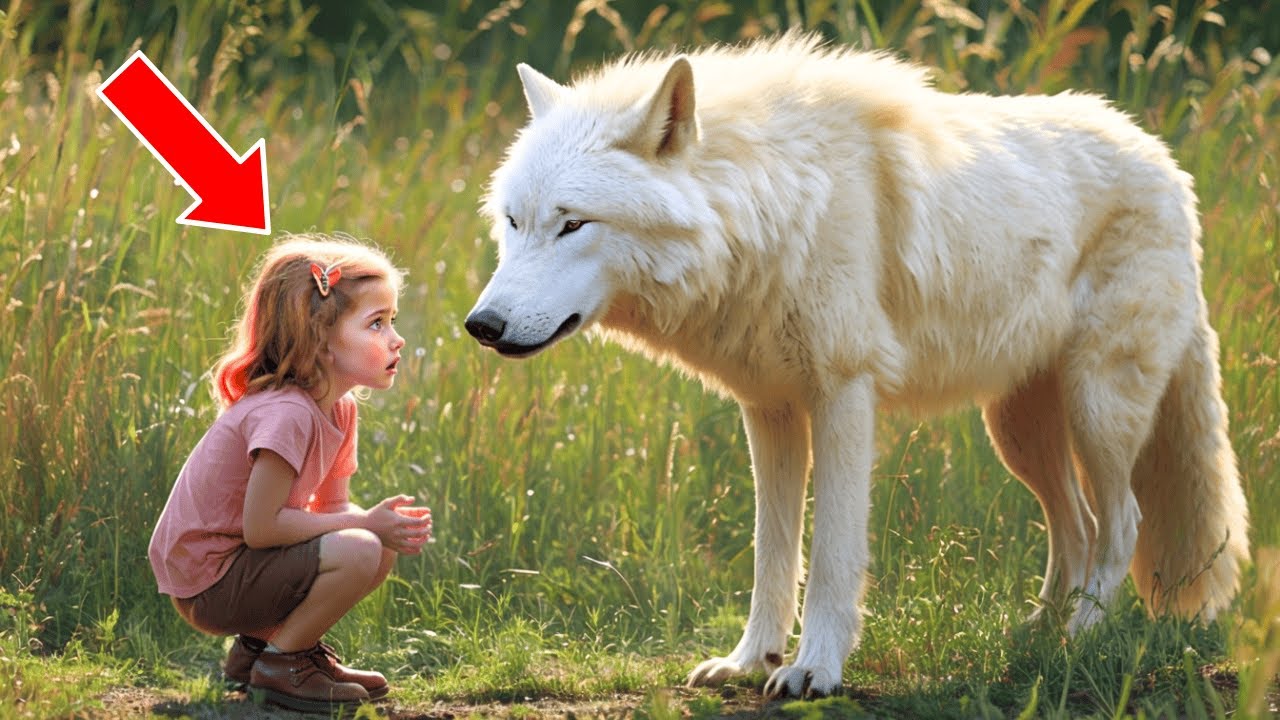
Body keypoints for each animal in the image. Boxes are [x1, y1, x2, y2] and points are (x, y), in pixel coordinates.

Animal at [464, 34, 1249, 697]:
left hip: (1098, 412)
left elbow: (833, 555)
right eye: (514, 221)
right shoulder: (769, 410)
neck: (776, 203)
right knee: (1077, 528)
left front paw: (814, 670)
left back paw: (1079, 641)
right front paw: (749, 662)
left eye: (573, 223)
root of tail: (1167, 163)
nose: (481, 326)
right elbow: (772, 555)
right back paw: (1034, 639)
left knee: (1122, 524)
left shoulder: (843, 394)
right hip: (1018, 433)